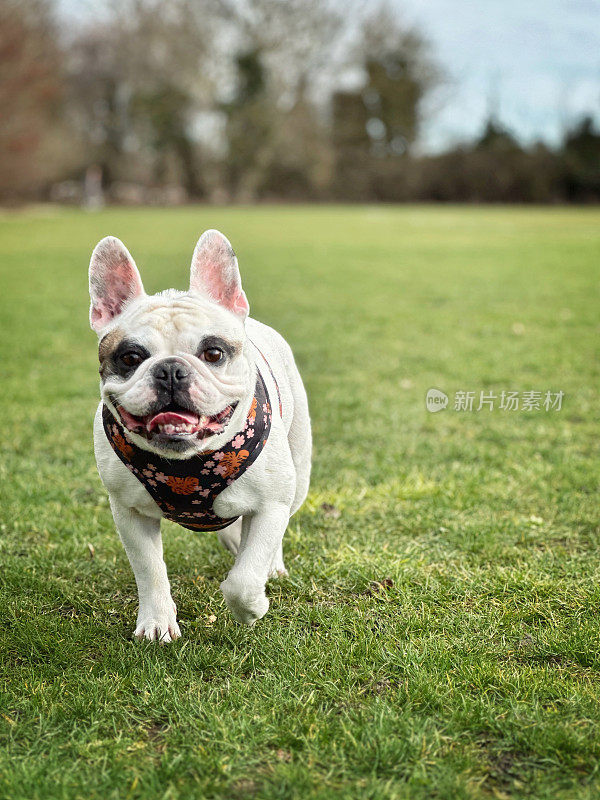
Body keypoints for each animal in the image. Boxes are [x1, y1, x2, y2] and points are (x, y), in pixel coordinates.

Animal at [90, 228, 314, 640]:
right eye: (130, 358)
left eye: (212, 353)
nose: (170, 370)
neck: (186, 463)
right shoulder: (129, 512)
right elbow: (149, 569)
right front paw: (157, 621)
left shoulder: (271, 504)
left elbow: (244, 578)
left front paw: (251, 606)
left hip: (299, 475)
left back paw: (270, 568)